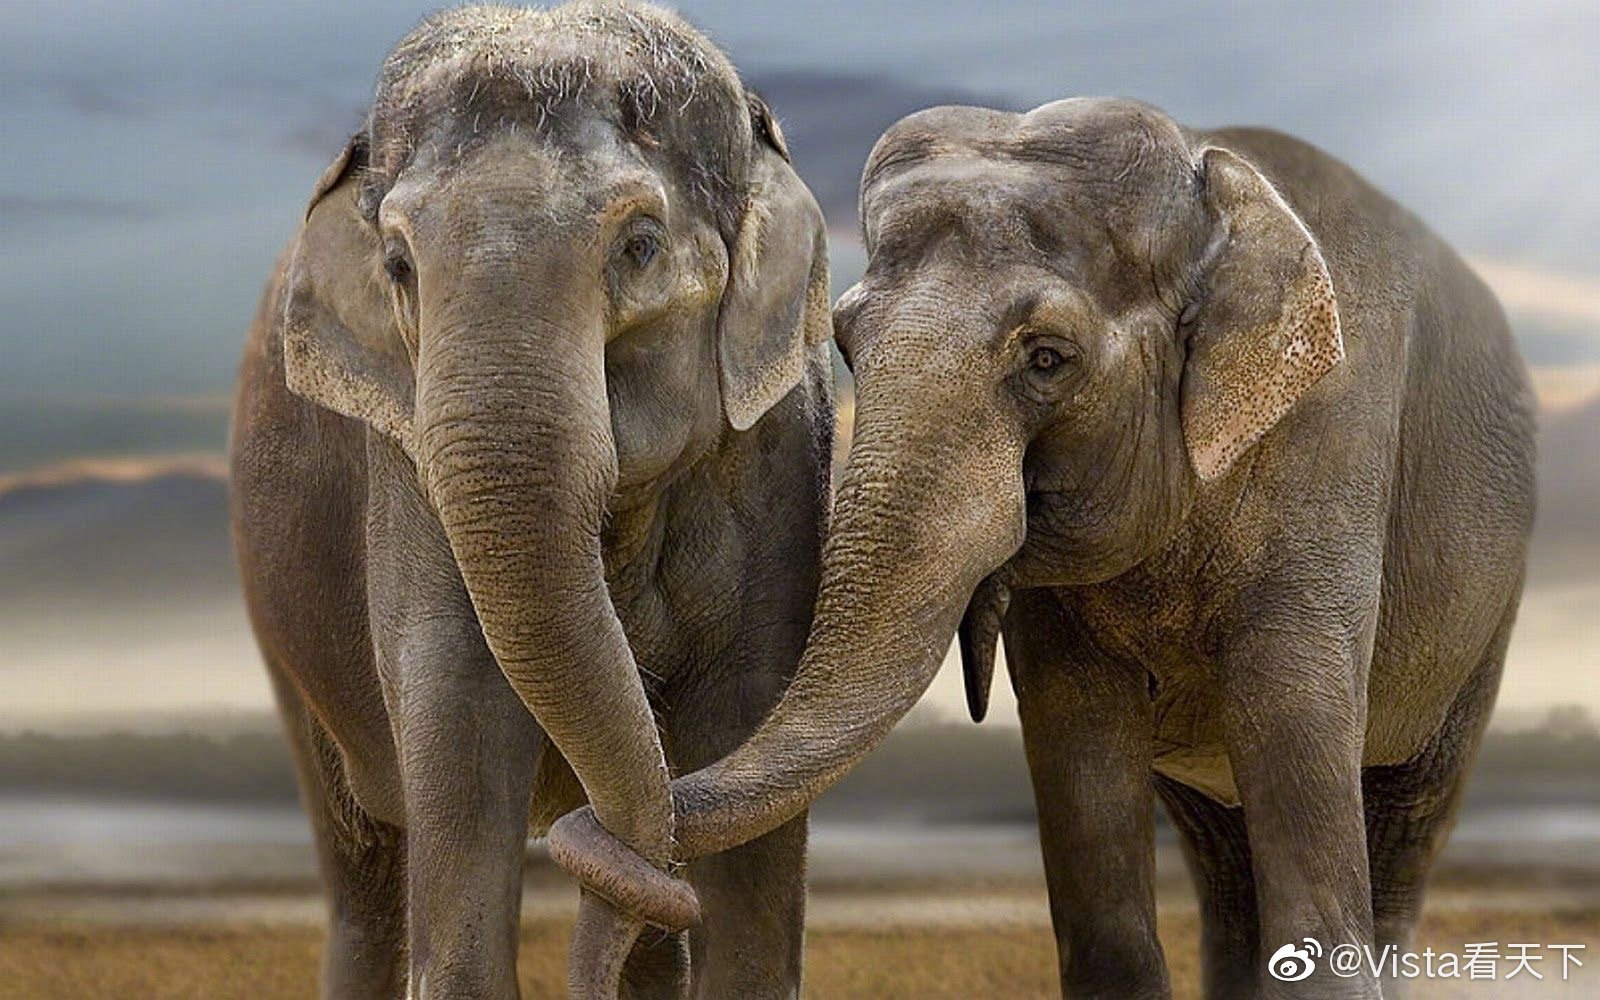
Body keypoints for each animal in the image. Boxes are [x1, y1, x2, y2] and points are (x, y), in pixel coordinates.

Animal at [228, 4, 833, 998]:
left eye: (639, 246)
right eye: (399, 264)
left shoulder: (779, 454)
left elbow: (749, 720)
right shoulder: (406, 467)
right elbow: (460, 710)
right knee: (363, 869)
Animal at [551, 97, 1537, 998]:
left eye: (1048, 359)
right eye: (846, 342)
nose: (597, 843)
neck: (1207, 184)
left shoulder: (1330, 452)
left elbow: (1294, 726)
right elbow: (1079, 757)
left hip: (1482, 624)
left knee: (1405, 819)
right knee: (1225, 867)